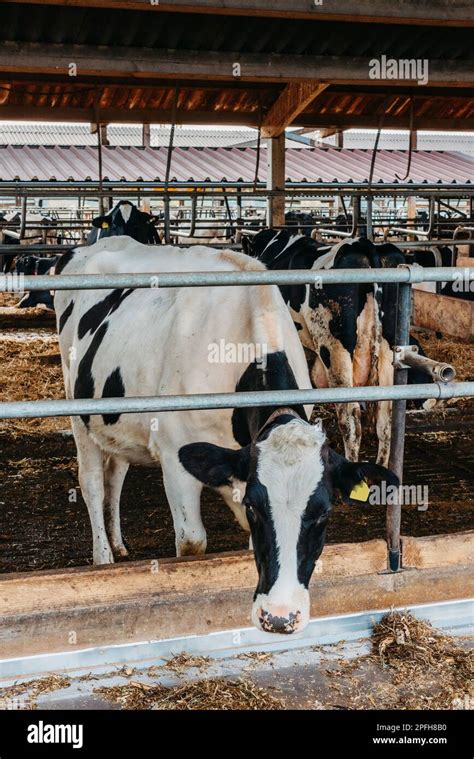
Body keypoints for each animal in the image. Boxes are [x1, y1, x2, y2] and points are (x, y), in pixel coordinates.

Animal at [55, 239, 396, 636]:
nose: (280, 617)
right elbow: (191, 543)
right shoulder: (175, 459)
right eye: (257, 508)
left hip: (117, 423)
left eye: (324, 513)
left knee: (116, 476)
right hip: (78, 408)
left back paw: (119, 543)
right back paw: (104, 557)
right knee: (93, 483)